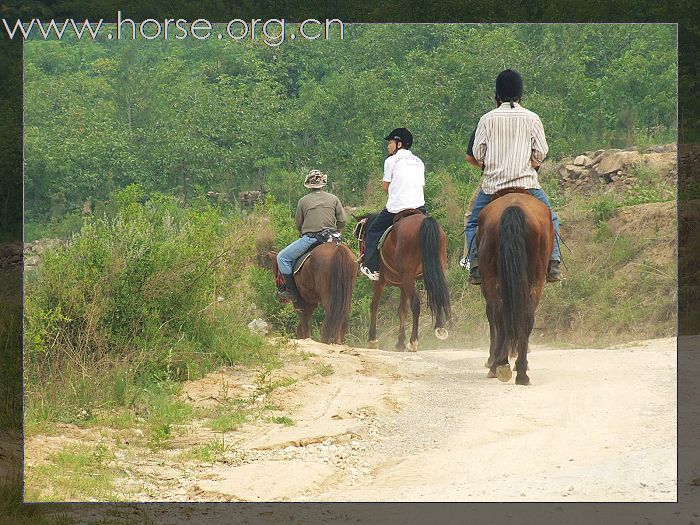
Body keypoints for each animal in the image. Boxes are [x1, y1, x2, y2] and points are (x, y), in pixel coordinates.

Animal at [358, 212, 452, 352]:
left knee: (416, 304)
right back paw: (439, 329)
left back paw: (413, 342)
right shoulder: (402, 284)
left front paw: (372, 340)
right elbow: (402, 310)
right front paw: (400, 342)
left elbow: (374, 305)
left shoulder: (379, 282)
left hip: (408, 275)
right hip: (435, 270)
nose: (361, 259)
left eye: (361, 238)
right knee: (439, 296)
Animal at [478, 188, 556, 384]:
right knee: (525, 316)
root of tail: (513, 207)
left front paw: (493, 359)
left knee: (501, 314)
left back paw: (499, 365)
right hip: (535, 278)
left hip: (492, 278)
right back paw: (520, 371)